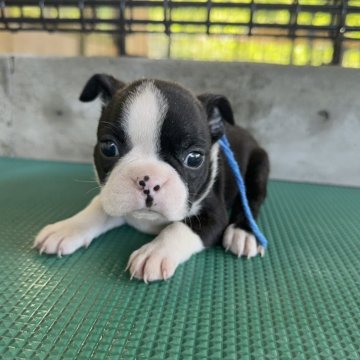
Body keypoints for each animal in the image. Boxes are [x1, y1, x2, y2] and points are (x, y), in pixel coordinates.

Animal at [34, 74, 270, 282]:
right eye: (109, 148)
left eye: (194, 158)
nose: (148, 179)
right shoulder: (113, 199)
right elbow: (97, 208)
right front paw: (67, 228)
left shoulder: (214, 215)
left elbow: (178, 228)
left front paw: (154, 253)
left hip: (259, 165)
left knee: (252, 199)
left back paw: (243, 232)